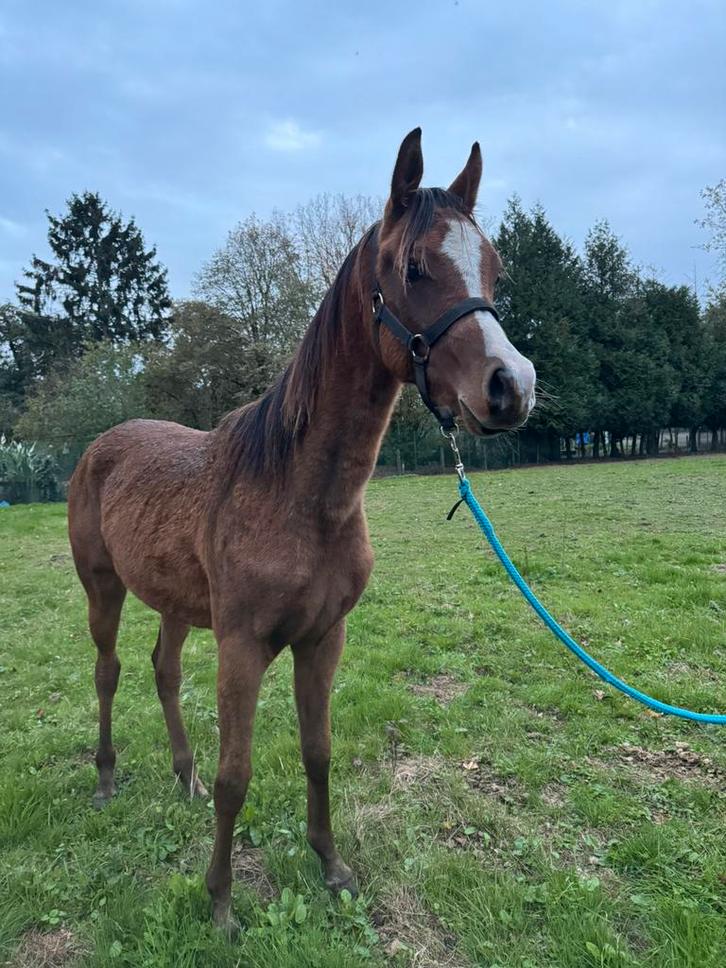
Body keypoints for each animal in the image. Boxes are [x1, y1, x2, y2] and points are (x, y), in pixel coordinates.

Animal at [67, 127, 536, 928]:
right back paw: (104, 780)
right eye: (414, 266)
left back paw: (182, 777)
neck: (299, 494)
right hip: (104, 590)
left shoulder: (323, 639)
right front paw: (221, 902)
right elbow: (238, 773)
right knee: (109, 671)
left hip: (175, 604)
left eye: (494, 267)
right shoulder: (243, 647)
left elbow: (318, 753)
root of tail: (102, 444)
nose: (512, 386)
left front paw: (331, 865)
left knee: (163, 672)